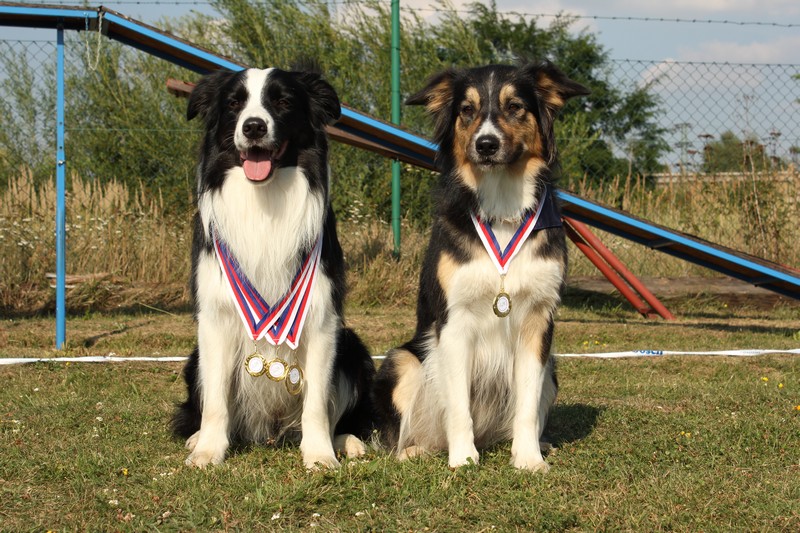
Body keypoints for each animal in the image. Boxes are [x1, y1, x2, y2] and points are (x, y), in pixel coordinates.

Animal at [171, 67, 375, 469]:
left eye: (282, 101)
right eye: (234, 103)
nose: (253, 127)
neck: (264, 198)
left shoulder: (322, 318)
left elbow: (317, 403)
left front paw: (319, 455)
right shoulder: (215, 318)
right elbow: (215, 400)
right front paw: (208, 451)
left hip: (353, 347)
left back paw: (345, 441)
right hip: (193, 359)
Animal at [373, 62, 589, 471]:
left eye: (515, 106)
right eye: (467, 110)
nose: (485, 144)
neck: (502, 209)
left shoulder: (538, 321)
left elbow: (527, 405)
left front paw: (529, 458)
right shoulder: (455, 320)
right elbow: (458, 404)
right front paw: (463, 458)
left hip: (552, 368)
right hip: (402, 360)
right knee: (404, 434)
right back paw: (415, 450)